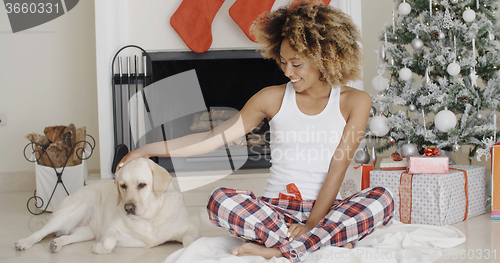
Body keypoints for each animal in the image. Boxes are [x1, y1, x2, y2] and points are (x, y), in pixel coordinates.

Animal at [15, 158, 199, 255]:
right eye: (123, 186)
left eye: (142, 185)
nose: (128, 208)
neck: (149, 218)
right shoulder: (110, 228)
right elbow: (109, 242)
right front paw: (97, 247)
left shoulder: (190, 228)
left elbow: (190, 241)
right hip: (70, 213)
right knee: (40, 232)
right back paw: (24, 242)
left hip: (85, 231)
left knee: (67, 237)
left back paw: (57, 244)